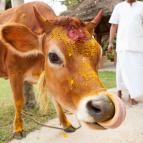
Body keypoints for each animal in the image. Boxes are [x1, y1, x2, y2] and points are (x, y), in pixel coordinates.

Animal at [0, 1, 125, 137]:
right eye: (53, 56)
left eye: (99, 53)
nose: (106, 108)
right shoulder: (14, 73)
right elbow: (18, 101)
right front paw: (18, 129)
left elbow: (57, 100)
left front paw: (66, 124)